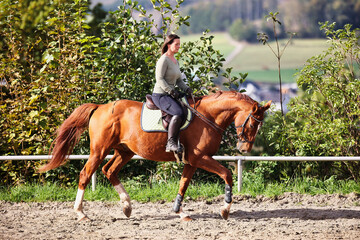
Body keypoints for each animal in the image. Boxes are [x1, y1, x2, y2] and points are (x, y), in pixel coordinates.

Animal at [38, 91, 270, 222]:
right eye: (253, 124)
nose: (244, 149)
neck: (208, 117)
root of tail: (100, 107)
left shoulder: (191, 162)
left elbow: (183, 185)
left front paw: (180, 213)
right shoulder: (200, 158)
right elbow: (227, 174)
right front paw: (225, 210)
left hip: (124, 151)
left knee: (109, 170)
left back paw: (127, 206)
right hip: (99, 150)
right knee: (86, 174)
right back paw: (81, 213)